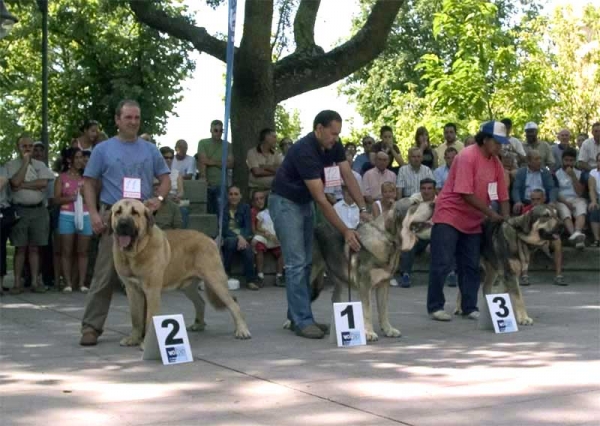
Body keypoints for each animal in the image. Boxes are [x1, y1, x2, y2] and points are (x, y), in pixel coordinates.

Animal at [109, 200, 251, 346]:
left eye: (135, 212)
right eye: (118, 212)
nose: (123, 224)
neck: (135, 252)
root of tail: (209, 239)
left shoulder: (152, 290)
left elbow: (149, 317)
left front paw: (146, 343)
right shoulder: (132, 289)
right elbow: (135, 317)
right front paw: (133, 338)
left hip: (216, 281)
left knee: (233, 305)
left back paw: (242, 331)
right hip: (188, 287)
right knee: (200, 302)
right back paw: (198, 324)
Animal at [288, 198, 434, 342]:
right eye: (414, 204)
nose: (433, 203)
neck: (388, 239)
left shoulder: (384, 284)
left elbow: (383, 310)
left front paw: (388, 330)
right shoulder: (365, 284)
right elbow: (367, 310)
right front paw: (369, 332)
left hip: (332, 281)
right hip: (310, 275)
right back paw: (296, 325)